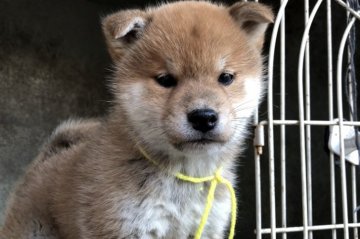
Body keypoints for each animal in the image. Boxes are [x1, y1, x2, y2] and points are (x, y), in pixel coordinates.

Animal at [0, 0, 272, 238]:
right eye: (165, 80)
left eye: (225, 77)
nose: (203, 117)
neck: (187, 174)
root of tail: (46, 158)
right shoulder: (123, 225)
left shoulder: (207, 228)